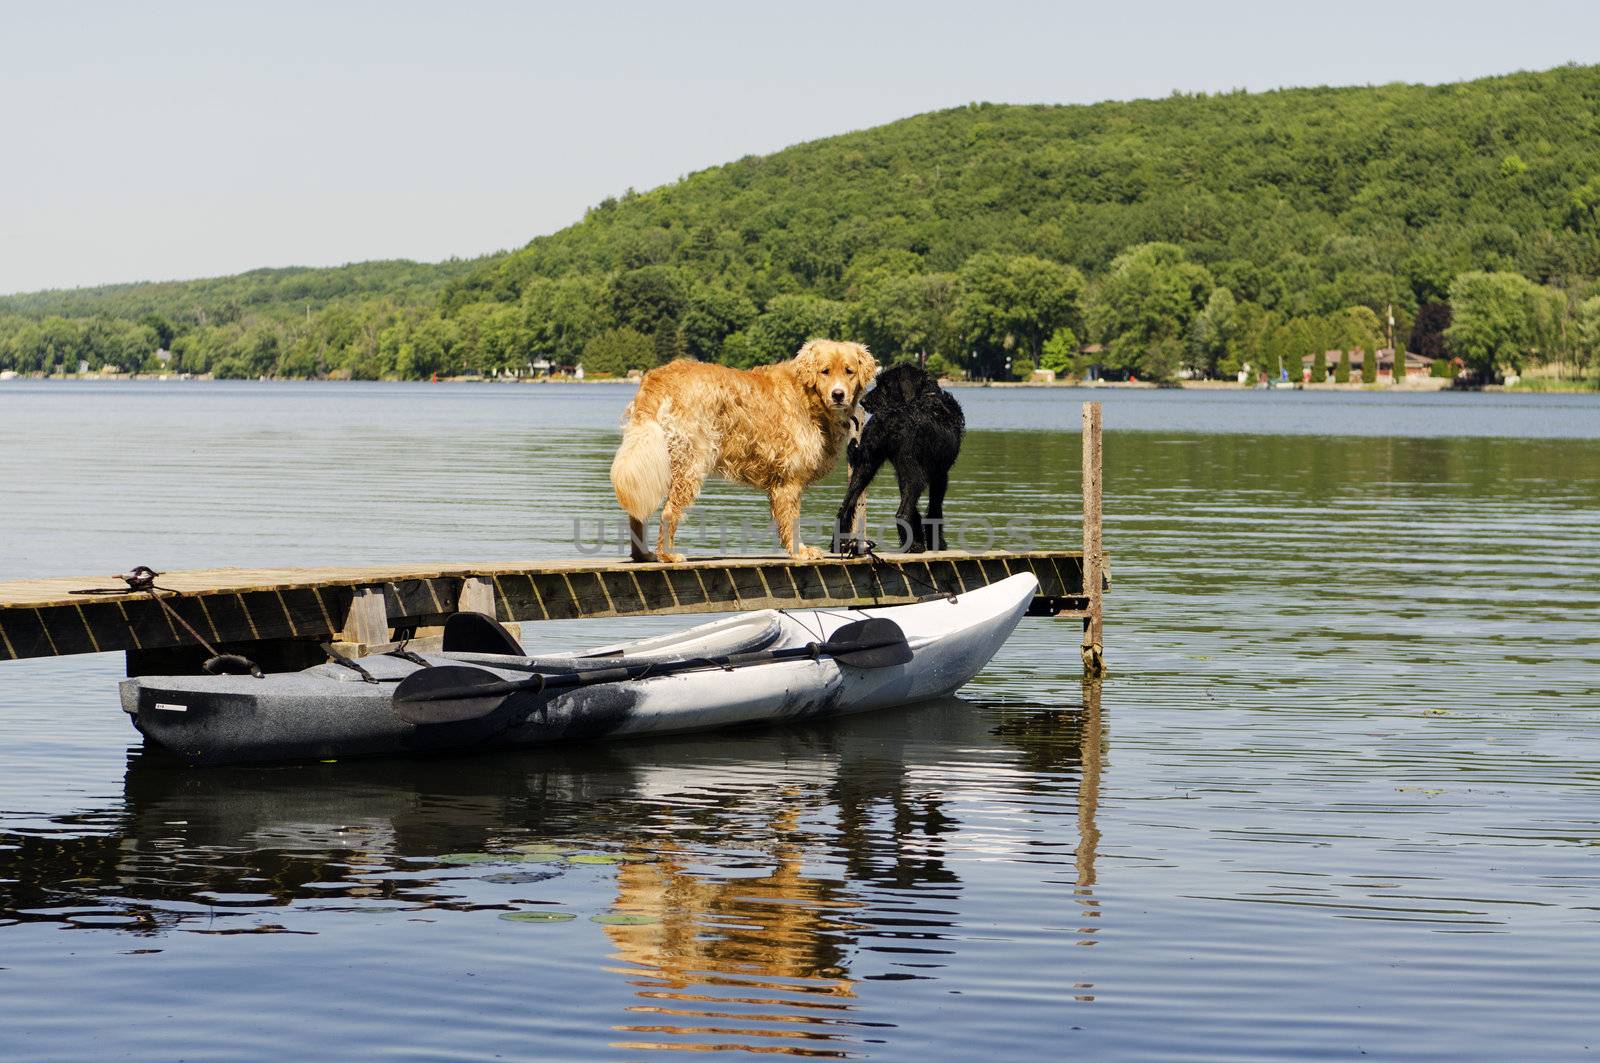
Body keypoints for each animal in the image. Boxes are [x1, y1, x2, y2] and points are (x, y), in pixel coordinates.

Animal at [838, 363, 960, 550]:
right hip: (915, 477)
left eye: (885, 386)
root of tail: (888, 417)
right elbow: (934, 509)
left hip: (866, 466)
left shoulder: (903, 473)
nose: (863, 401)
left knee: (846, 506)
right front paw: (937, 544)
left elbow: (915, 510)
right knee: (902, 514)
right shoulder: (940, 475)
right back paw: (914, 547)